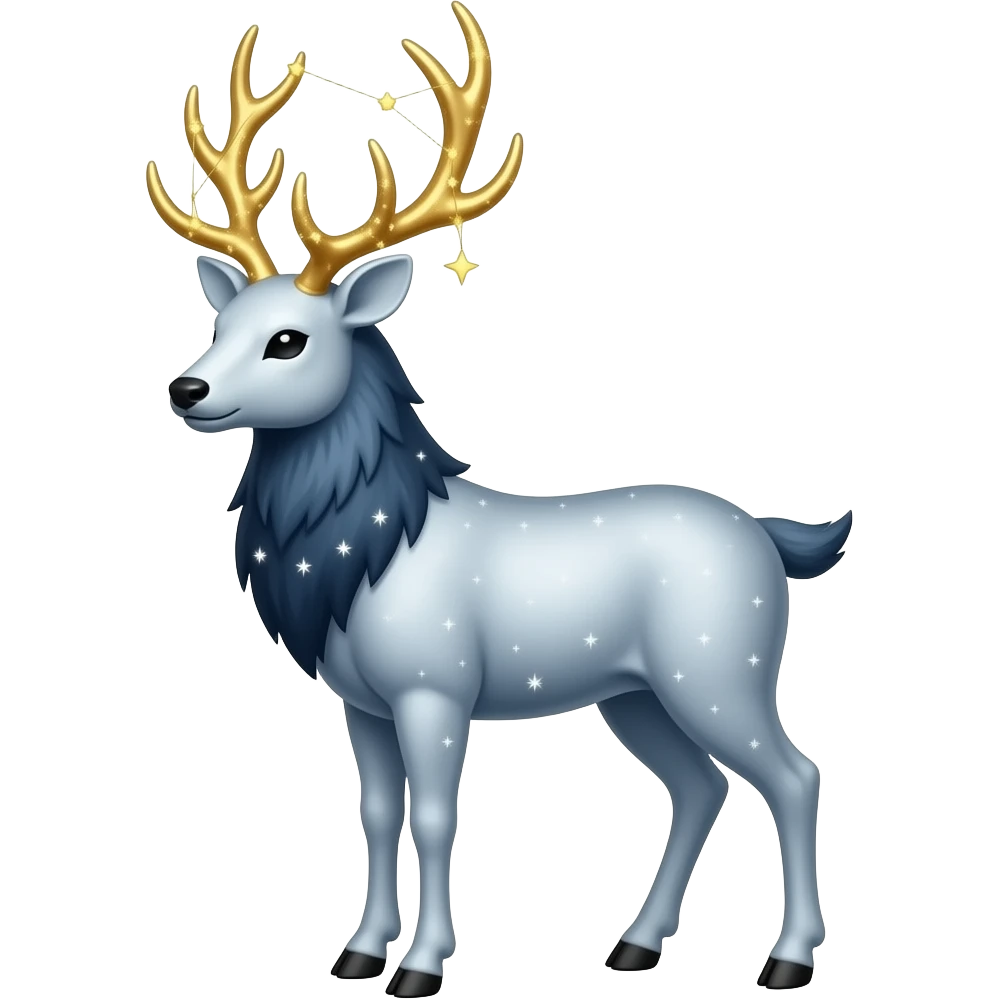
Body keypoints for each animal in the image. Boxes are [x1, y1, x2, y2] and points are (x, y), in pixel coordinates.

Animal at [147, 4, 850, 994]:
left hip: (720, 667)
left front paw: (421, 965)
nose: (187, 390)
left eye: (288, 339)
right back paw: (633, 944)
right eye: (221, 321)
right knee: (698, 784)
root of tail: (769, 536)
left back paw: (785, 959)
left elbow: (436, 815)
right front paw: (357, 951)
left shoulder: (435, 683)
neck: (357, 564)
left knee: (793, 772)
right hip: (633, 692)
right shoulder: (360, 700)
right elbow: (373, 811)